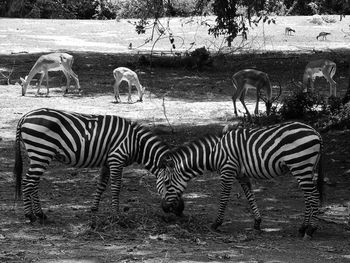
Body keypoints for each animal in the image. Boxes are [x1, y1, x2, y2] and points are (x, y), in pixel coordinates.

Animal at [14, 107, 170, 223]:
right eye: (167, 182)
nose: (174, 210)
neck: (136, 142)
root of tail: (25, 116)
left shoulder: (108, 161)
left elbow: (101, 185)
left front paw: (94, 208)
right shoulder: (116, 158)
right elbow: (116, 187)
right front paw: (116, 215)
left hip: (37, 155)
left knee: (34, 183)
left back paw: (40, 214)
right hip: (42, 151)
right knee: (27, 181)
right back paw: (30, 215)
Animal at [160, 122, 324, 240]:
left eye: (167, 183)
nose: (164, 208)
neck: (214, 153)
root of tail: (315, 132)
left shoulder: (227, 171)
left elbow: (224, 198)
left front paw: (216, 224)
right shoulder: (242, 175)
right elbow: (250, 197)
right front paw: (257, 222)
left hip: (299, 165)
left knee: (314, 196)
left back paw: (311, 230)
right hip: (304, 168)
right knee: (308, 197)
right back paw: (303, 228)